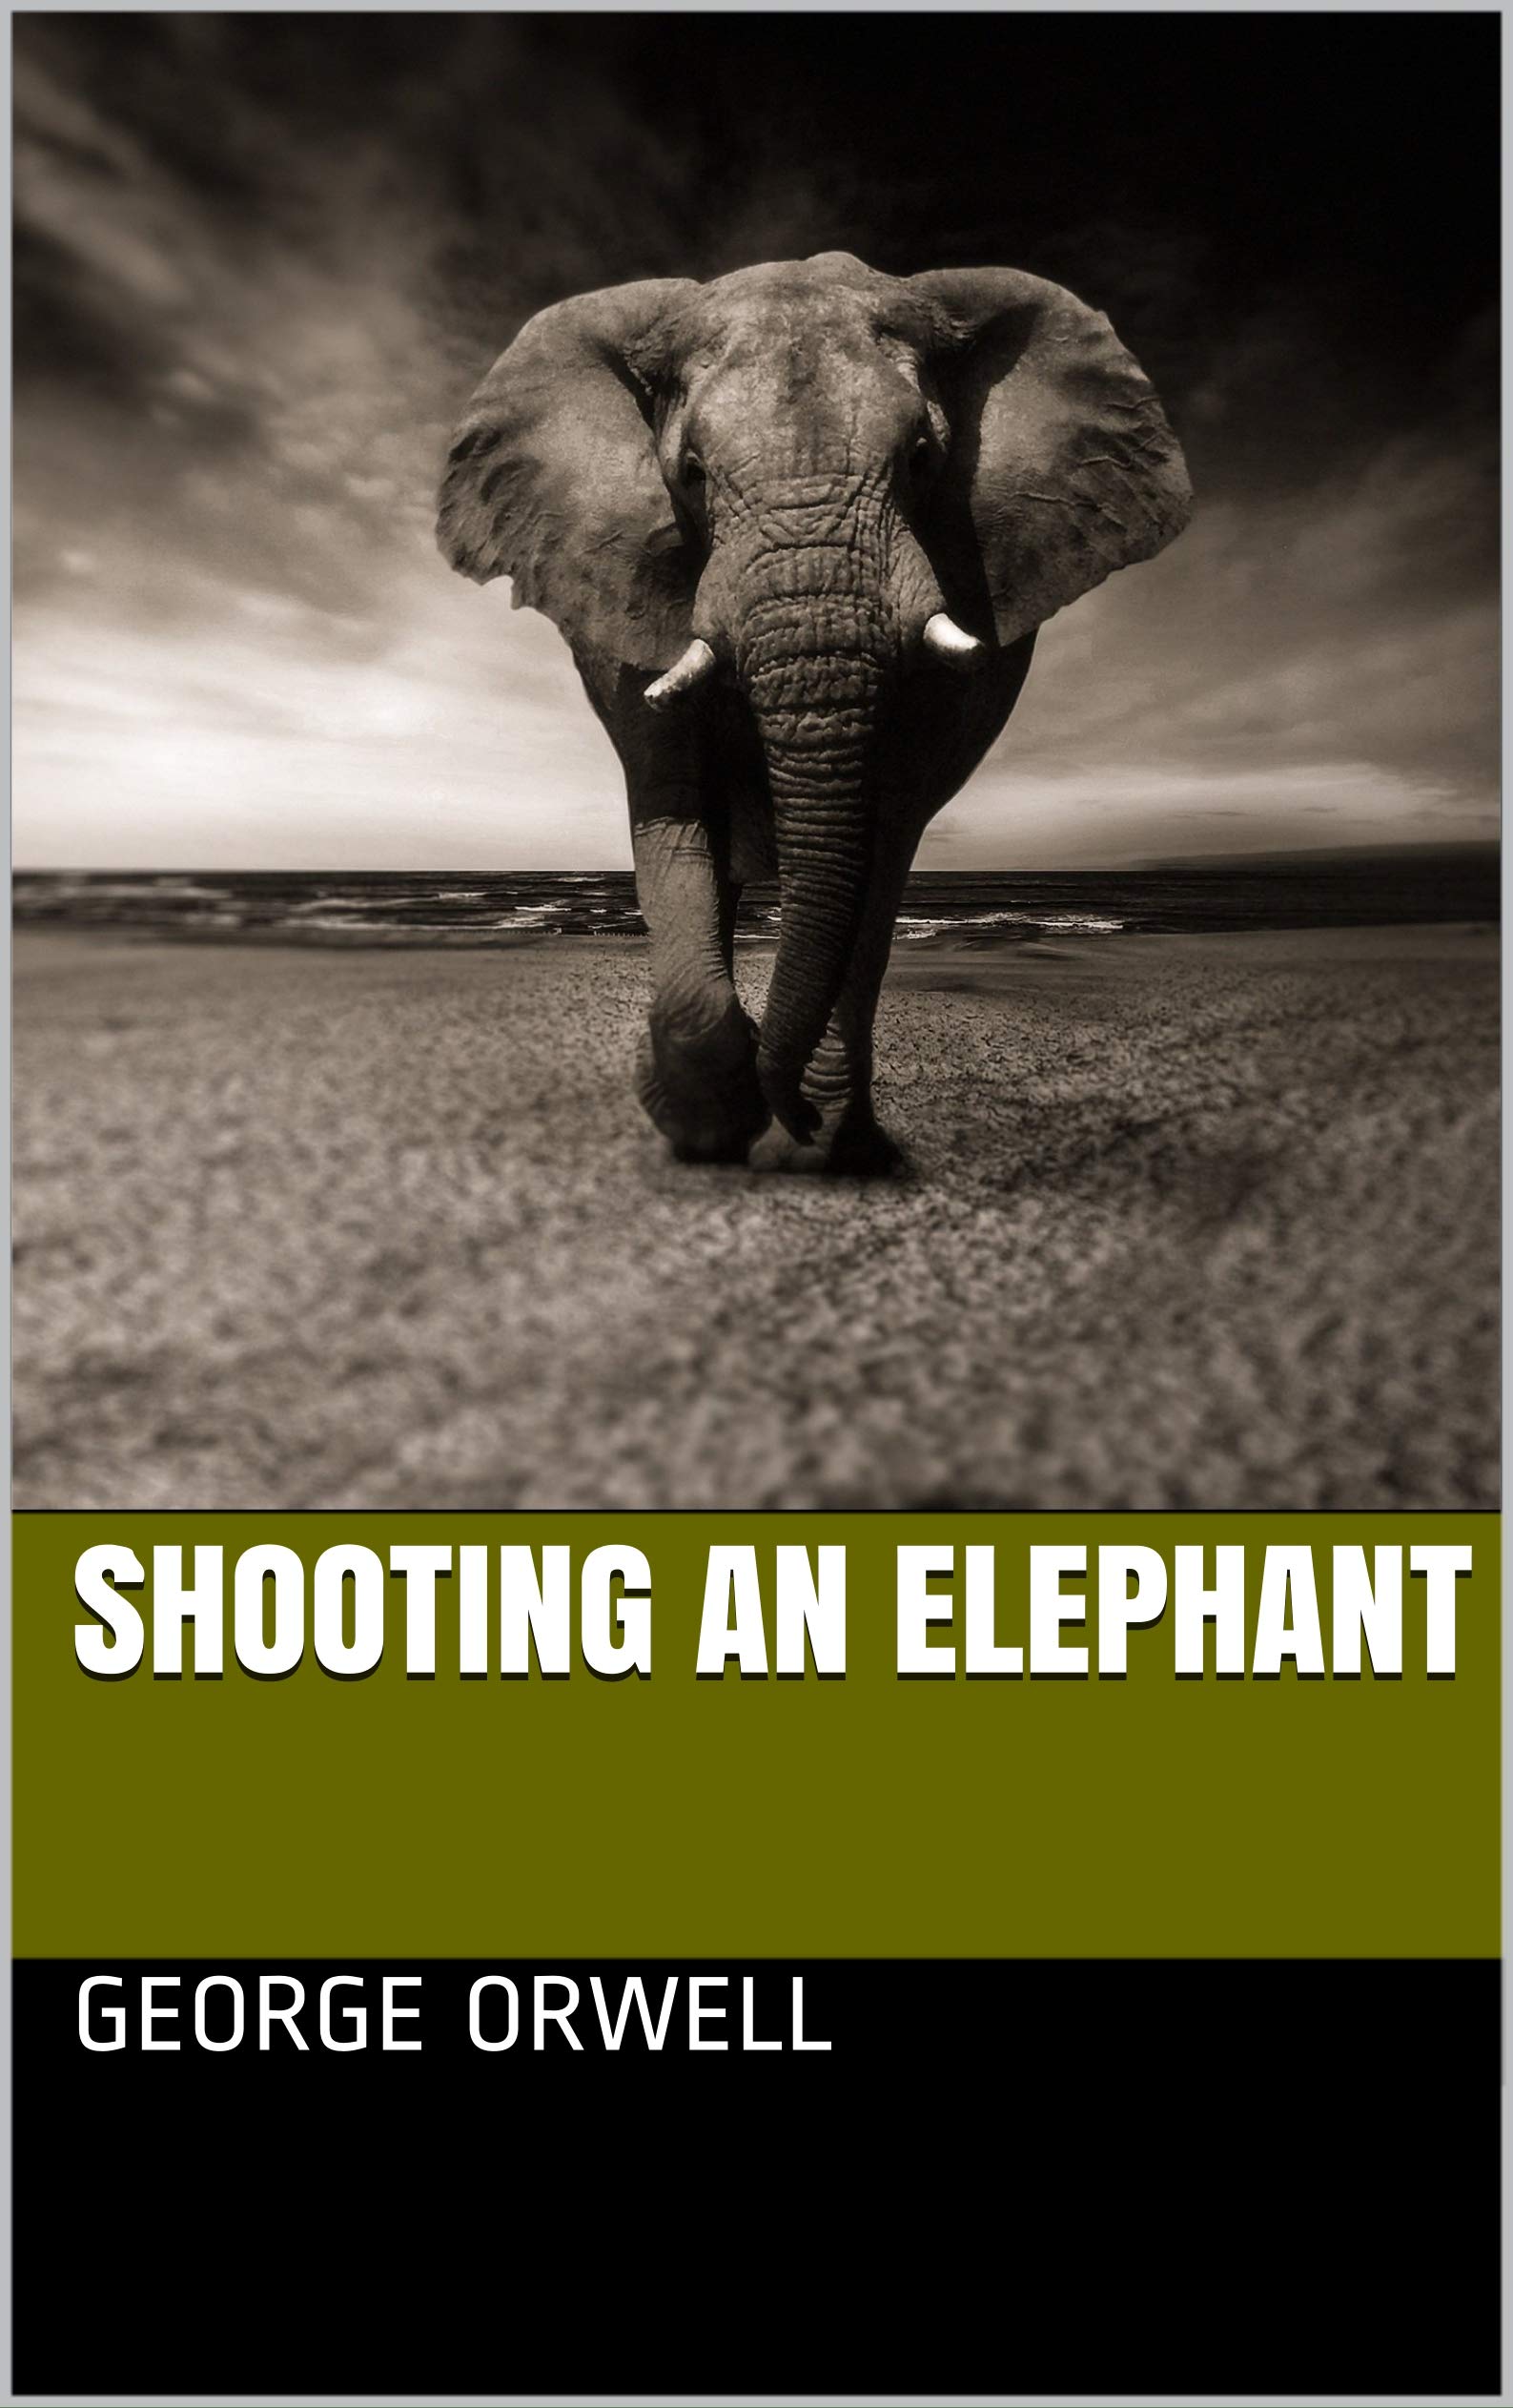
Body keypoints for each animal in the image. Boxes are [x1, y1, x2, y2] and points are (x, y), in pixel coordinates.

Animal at [437, 250, 1192, 1172]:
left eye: (921, 457)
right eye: (690, 473)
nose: (787, 1109)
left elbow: (881, 835)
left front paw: (817, 1138)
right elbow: (673, 809)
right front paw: (707, 1124)